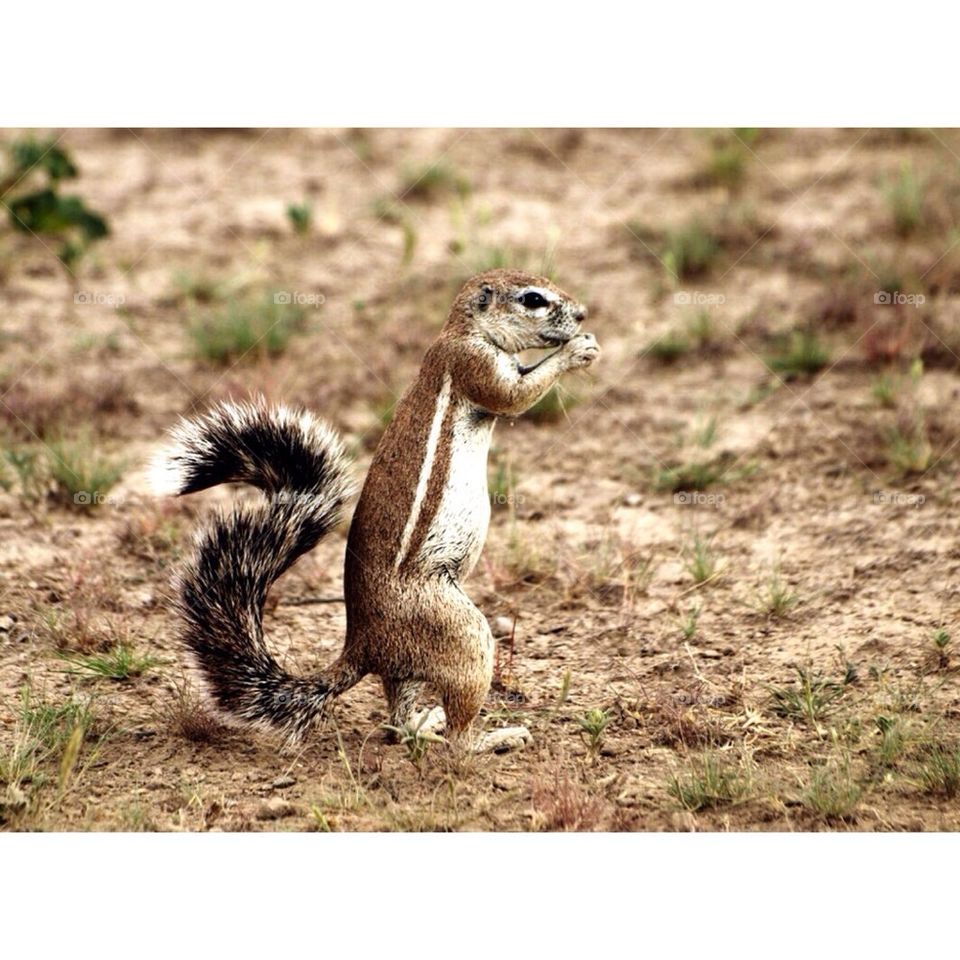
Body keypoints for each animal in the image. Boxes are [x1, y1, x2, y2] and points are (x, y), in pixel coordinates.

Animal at [151, 268, 600, 751]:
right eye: (533, 299)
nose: (582, 314)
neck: (463, 330)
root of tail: (363, 647)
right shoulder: (473, 364)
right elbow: (515, 394)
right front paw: (578, 350)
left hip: (412, 668)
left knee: (399, 723)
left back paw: (426, 723)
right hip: (462, 634)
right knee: (456, 737)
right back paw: (494, 738)